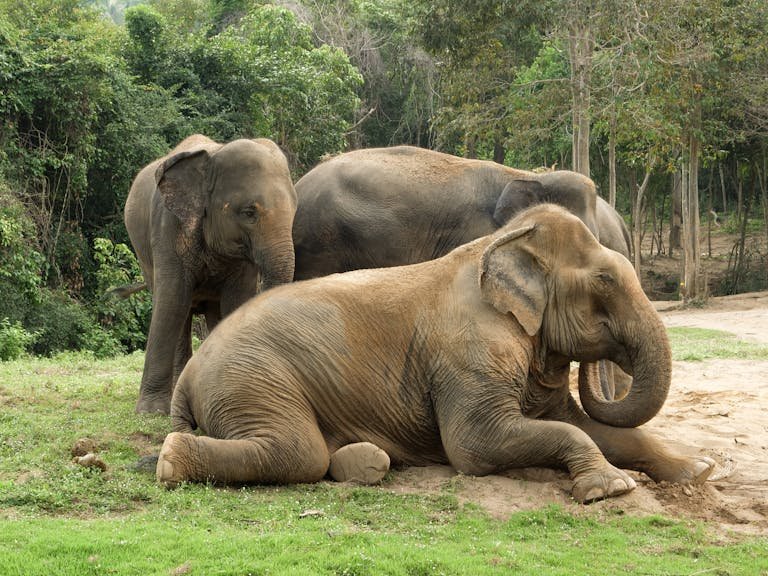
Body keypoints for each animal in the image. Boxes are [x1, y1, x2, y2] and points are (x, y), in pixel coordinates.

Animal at [124, 134, 297, 414]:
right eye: (249, 212)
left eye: (295, 210)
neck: (213, 156)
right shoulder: (168, 228)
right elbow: (171, 301)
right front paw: (151, 411)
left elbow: (236, 301)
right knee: (180, 312)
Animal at [156, 204, 714, 503]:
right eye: (604, 280)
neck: (499, 243)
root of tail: (192, 372)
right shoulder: (469, 353)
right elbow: (476, 445)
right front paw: (610, 489)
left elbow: (586, 426)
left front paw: (699, 469)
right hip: (250, 378)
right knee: (298, 450)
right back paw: (170, 460)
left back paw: (367, 463)